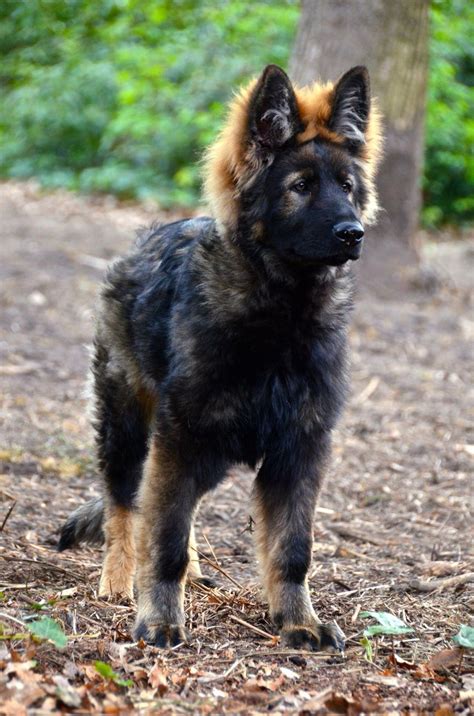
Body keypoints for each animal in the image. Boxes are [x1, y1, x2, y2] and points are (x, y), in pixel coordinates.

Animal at [58, 64, 382, 652]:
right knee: (125, 506)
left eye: (347, 187)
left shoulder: (299, 451)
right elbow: (163, 538)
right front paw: (159, 618)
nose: (354, 233)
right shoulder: (183, 440)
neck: (280, 320)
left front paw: (298, 621)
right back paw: (118, 579)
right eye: (301, 187)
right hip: (129, 428)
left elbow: (291, 550)